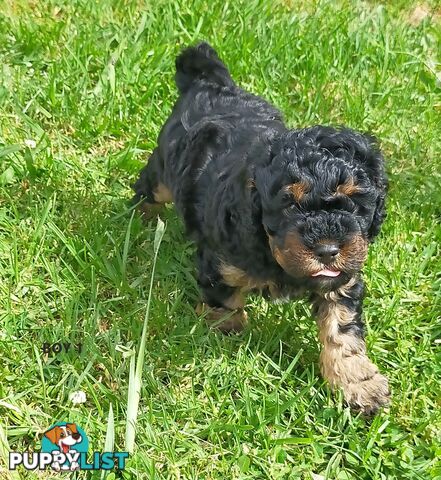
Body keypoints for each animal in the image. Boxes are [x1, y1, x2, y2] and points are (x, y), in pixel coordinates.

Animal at [133, 43, 388, 414]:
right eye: (289, 204)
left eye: (354, 201)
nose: (328, 250)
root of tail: (209, 82)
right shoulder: (220, 262)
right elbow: (224, 302)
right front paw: (226, 334)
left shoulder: (342, 279)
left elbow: (342, 332)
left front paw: (358, 384)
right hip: (164, 169)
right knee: (148, 187)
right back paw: (141, 219)